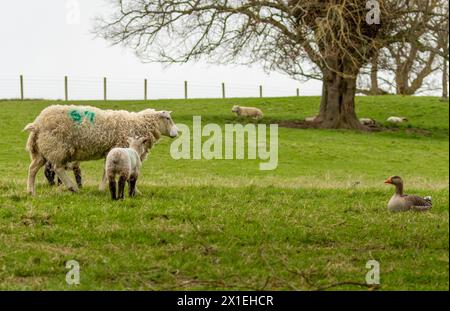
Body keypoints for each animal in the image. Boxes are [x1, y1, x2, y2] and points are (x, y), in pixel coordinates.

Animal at [23, 106, 178, 196]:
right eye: (168, 118)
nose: (177, 133)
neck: (138, 124)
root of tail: (37, 123)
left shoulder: (110, 152)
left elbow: (105, 171)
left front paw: (102, 188)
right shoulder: (121, 148)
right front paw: (135, 191)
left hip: (42, 150)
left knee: (32, 169)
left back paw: (31, 191)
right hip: (57, 147)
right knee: (57, 168)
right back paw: (73, 187)